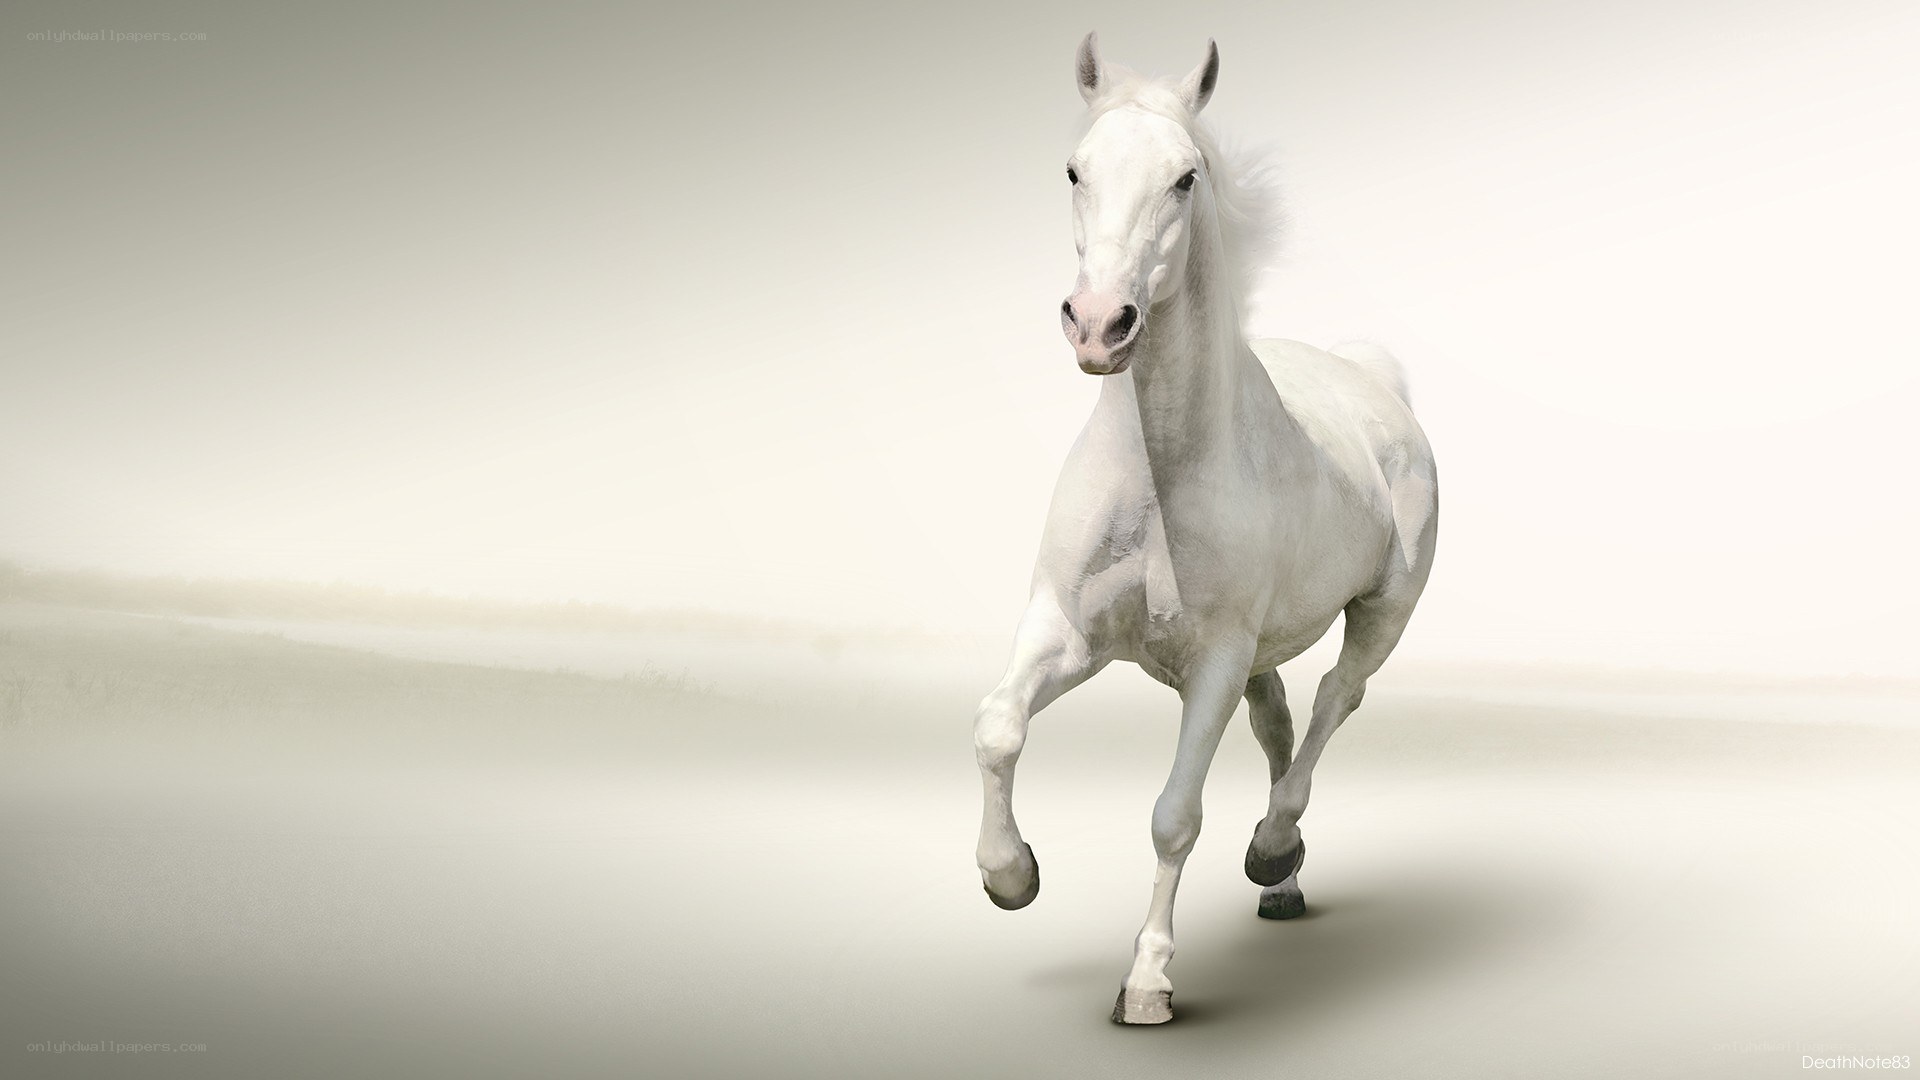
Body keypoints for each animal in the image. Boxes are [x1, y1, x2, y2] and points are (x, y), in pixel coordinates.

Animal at [971, 33, 1440, 1025]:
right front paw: (1010, 876)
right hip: (1265, 652)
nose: (1099, 324)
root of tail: (1372, 380)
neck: (1159, 476)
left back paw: (1273, 848)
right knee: (1281, 721)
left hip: (1382, 613)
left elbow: (1174, 815)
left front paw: (1147, 984)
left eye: (1185, 178)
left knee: (1337, 700)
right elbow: (997, 726)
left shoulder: (1215, 662)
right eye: (1075, 168)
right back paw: (1284, 884)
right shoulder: (1067, 630)